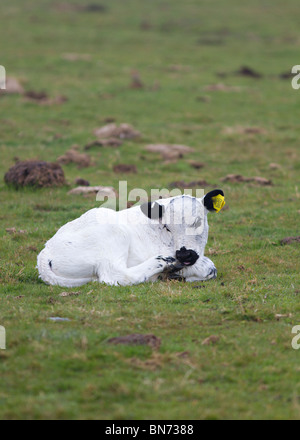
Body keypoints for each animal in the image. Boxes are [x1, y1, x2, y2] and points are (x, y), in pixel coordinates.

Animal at [37, 188, 225, 286]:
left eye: (198, 222)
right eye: (167, 227)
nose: (184, 255)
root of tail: (44, 253)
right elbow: (210, 267)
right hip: (115, 233)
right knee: (115, 275)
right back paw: (165, 262)